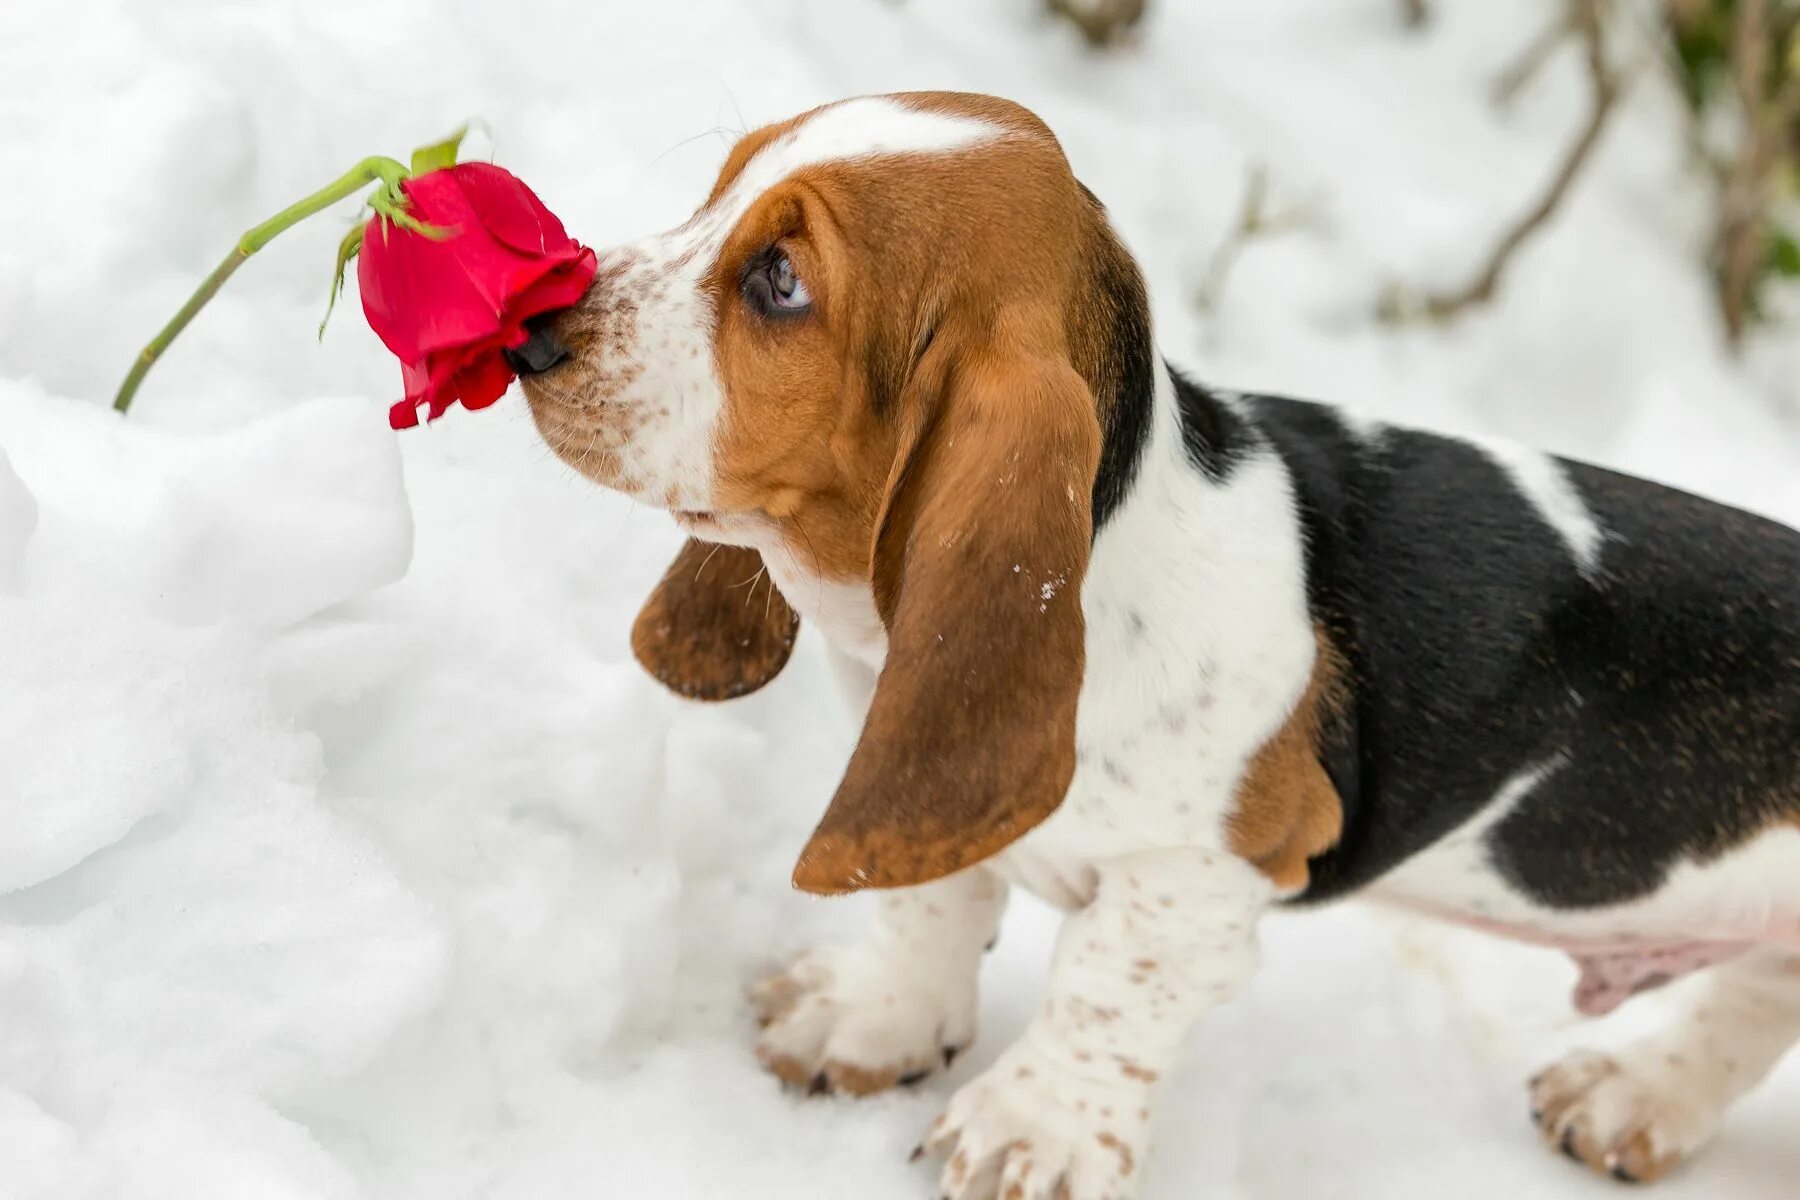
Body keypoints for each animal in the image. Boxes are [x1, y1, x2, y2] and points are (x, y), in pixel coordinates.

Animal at [514, 91, 1800, 1194]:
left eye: (780, 281)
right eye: (718, 189)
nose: (528, 327)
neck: (1119, 536)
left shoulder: (1212, 870)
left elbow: (1104, 982)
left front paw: (1030, 1129)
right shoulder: (927, 798)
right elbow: (931, 898)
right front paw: (875, 1017)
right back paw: (1637, 1096)